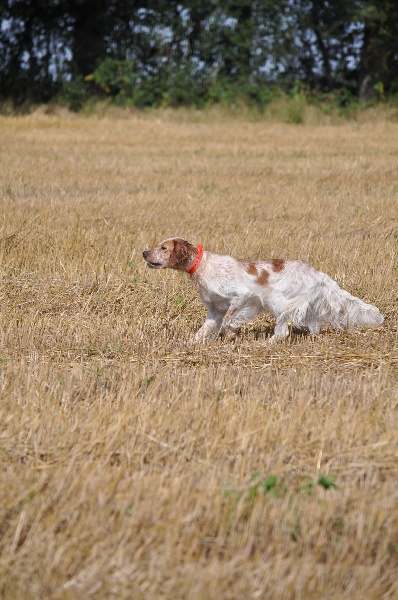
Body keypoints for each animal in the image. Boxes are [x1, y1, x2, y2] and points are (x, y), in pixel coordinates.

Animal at [142, 238, 382, 342]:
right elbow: (201, 331)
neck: (203, 265)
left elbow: (229, 321)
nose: (144, 252)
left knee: (283, 330)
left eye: (163, 248)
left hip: (277, 300)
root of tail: (316, 272)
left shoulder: (242, 297)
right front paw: (190, 345)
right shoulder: (214, 312)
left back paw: (269, 343)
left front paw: (231, 333)